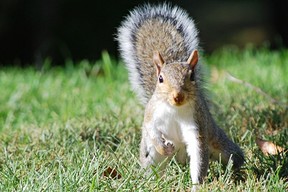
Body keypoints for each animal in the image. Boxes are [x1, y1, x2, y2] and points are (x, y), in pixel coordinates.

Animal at [116, 3, 244, 189]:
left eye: (191, 76)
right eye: (160, 79)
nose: (178, 96)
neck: (174, 109)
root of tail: (180, 158)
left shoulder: (196, 123)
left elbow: (198, 155)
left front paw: (196, 186)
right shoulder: (151, 114)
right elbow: (152, 130)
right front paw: (164, 147)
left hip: (222, 146)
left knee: (233, 158)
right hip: (151, 156)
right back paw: (151, 182)